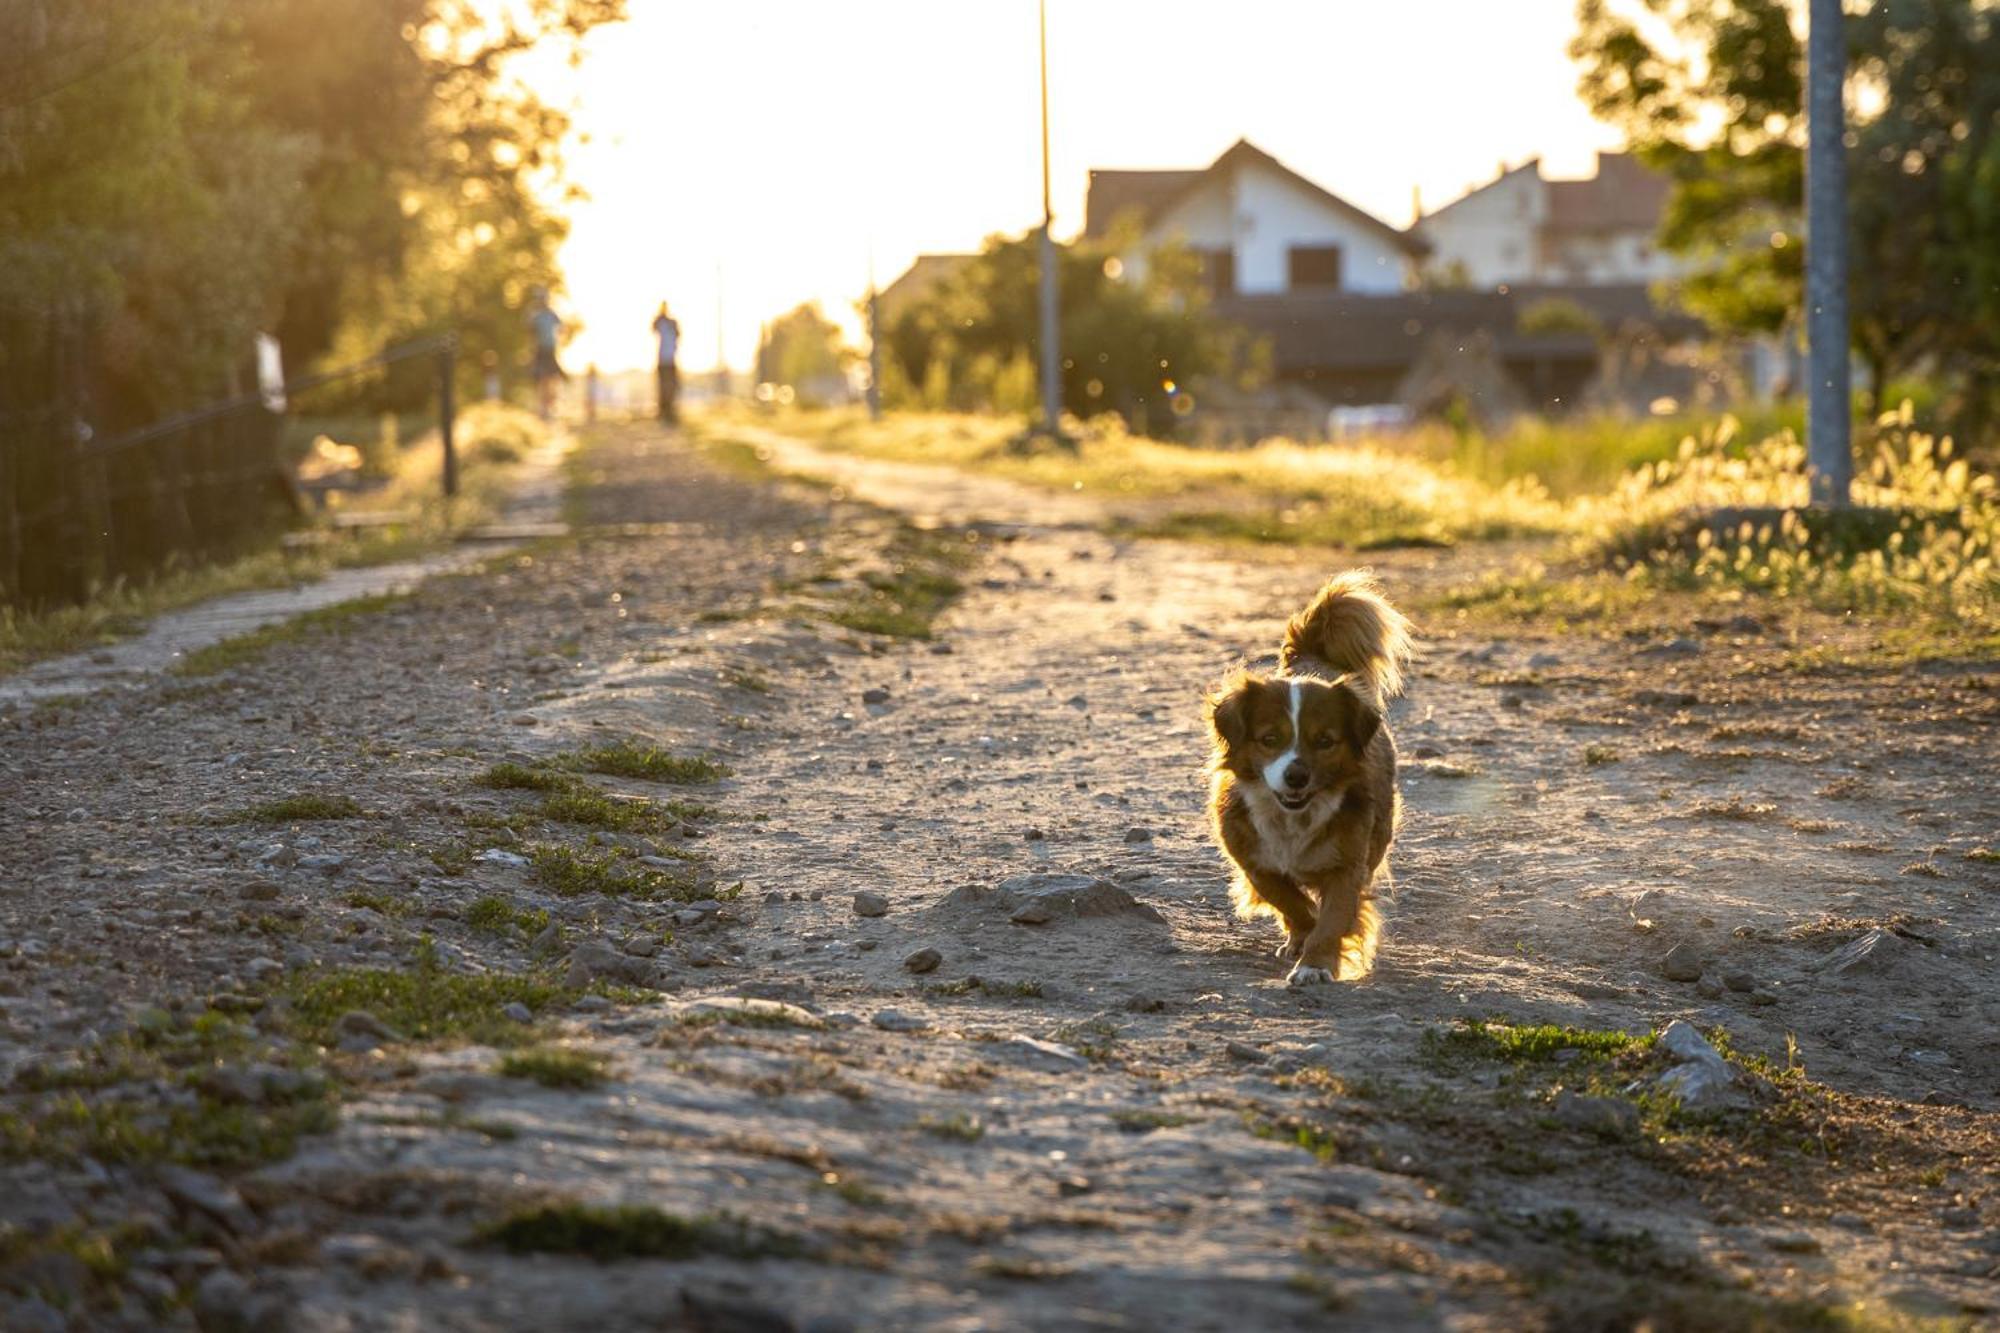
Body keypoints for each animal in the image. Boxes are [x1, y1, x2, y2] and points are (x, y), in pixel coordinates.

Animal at [1192, 564, 1416, 980]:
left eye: (1325, 741)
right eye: (1270, 739)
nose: (1297, 776)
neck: (1293, 820)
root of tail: (1313, 657)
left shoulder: (1348, 864)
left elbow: (1333, 917)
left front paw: (1317, 962)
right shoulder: (1253, 858)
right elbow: (1290, 901)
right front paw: (1303, 935)